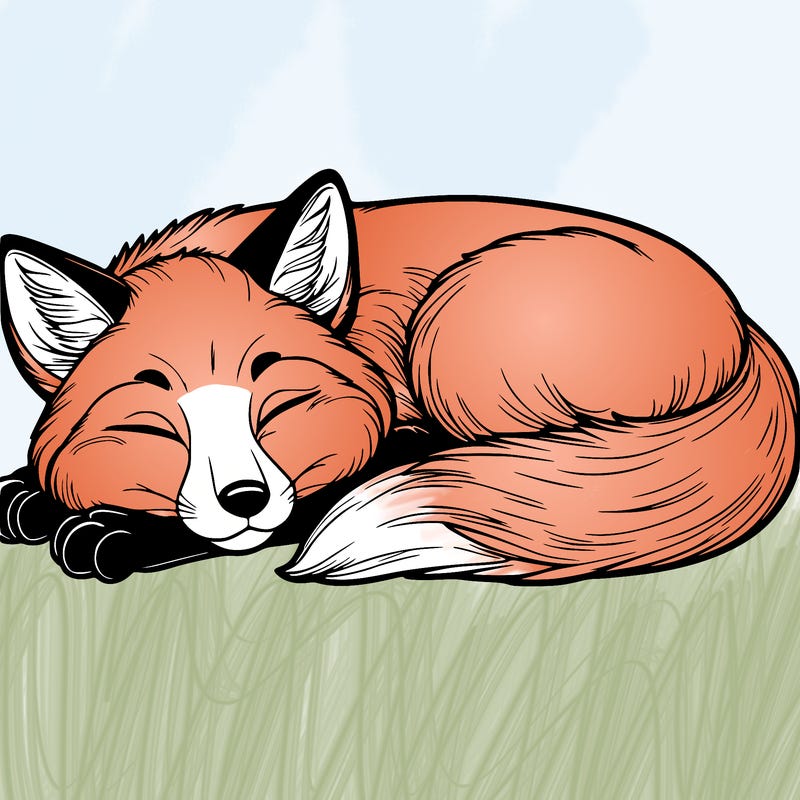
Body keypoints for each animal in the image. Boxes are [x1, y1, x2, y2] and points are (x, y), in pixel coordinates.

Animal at [0, 169, 797, 584]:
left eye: (276, 409)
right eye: (158, 427)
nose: (244, 499)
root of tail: (746, 324)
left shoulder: (380, 424)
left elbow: (306, 501)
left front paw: (117, 533)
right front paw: (29, 494)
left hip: (451, 338)